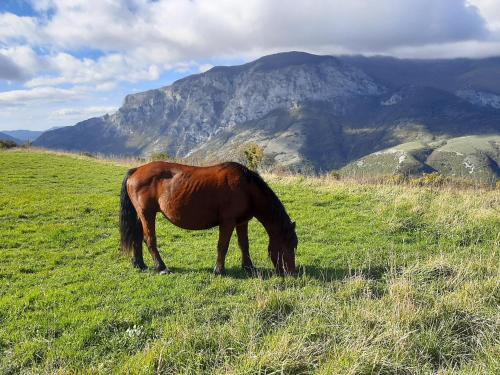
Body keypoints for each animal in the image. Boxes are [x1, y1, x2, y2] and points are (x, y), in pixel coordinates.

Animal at [119, 161, 296, 276]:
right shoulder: (227, 222)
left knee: (137, 237)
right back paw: (161, 267)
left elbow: (244, 245)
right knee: (149, 239)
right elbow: (222, 246)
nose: (292, 273)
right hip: (147, 214)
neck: (246, 188)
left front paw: (249, 267)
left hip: (141, 215)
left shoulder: (242, 222)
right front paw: (219, 270)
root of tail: (136, 170)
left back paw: (139, 264)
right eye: (287, 246)